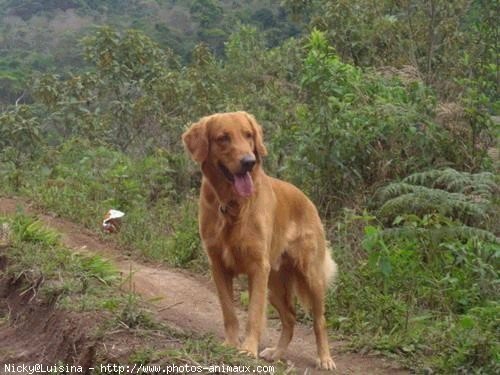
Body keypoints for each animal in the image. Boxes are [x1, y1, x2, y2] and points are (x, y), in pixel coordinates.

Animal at [182, 111, 338, 370]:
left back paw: (325, 358)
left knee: (319, 321)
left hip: (310, 276)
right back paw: (277, 352)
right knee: (290, 318)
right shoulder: (218, 266)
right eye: (223, 138)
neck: (233, 205)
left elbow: (254, 314)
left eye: (248, 135)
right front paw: (231, 344)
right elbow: (229, 312)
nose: (249, 161)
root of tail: (307, 200)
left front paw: (247, 349)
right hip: (274, 284)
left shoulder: (257, 268)